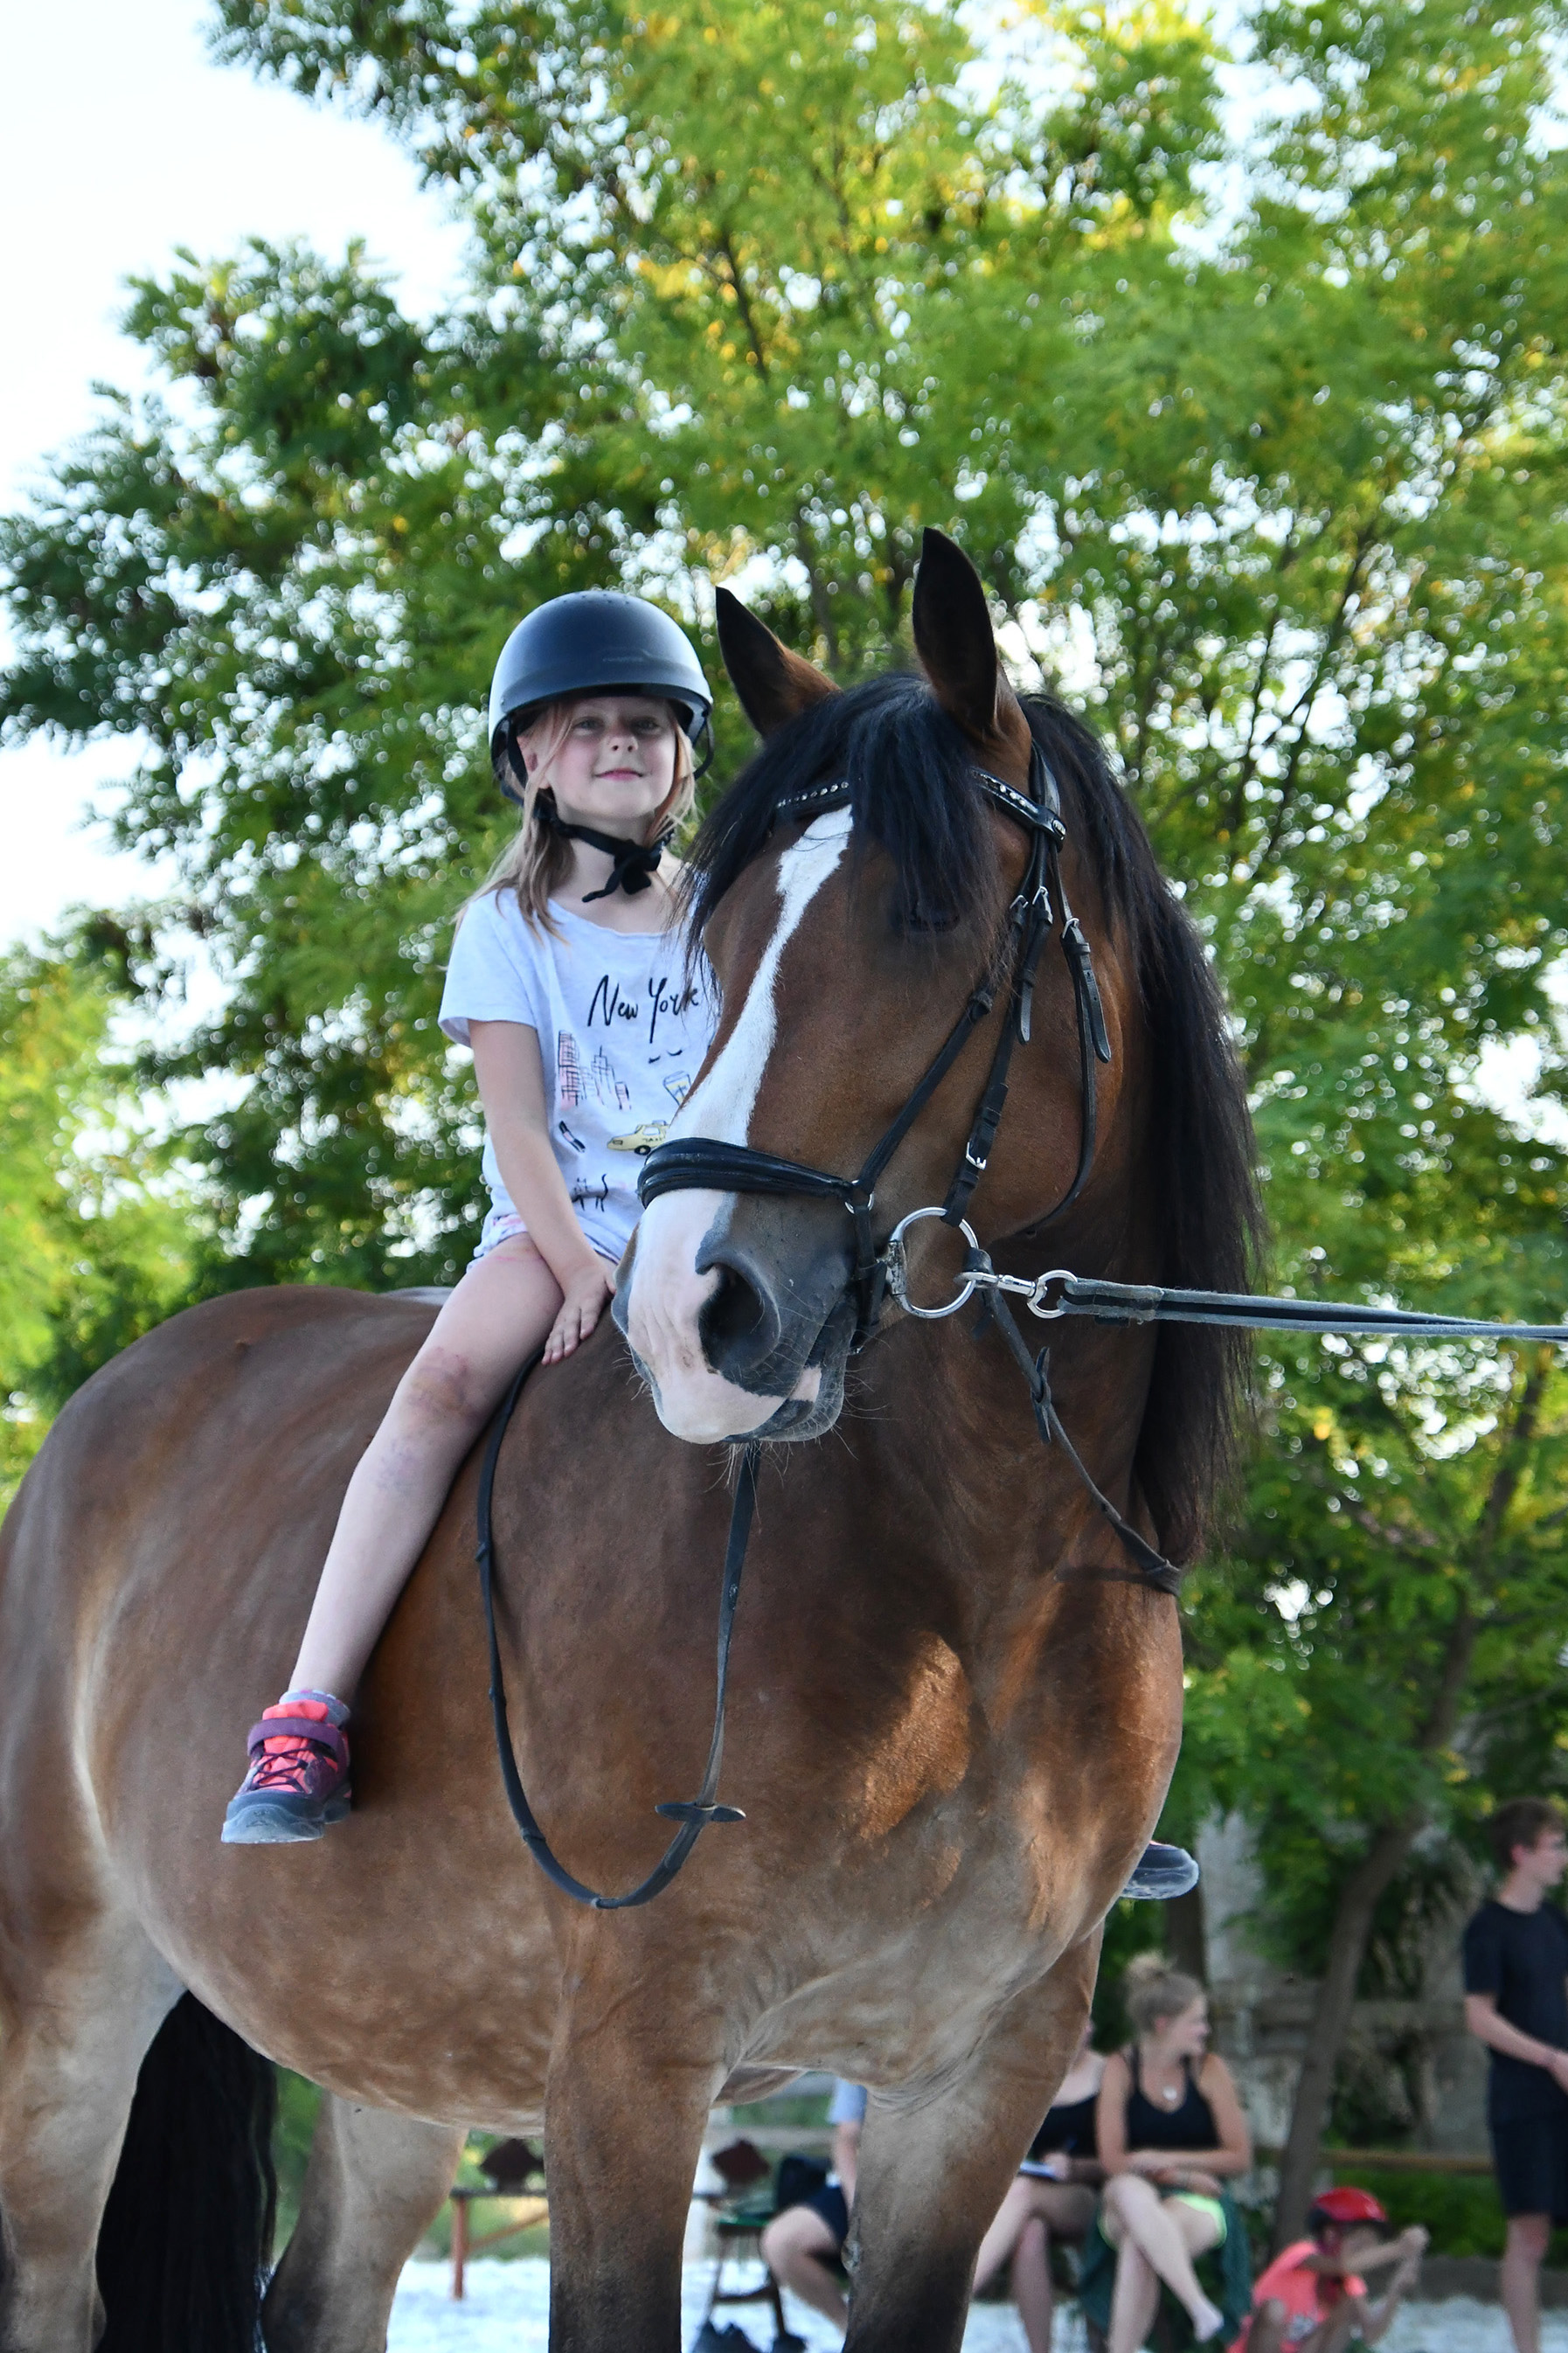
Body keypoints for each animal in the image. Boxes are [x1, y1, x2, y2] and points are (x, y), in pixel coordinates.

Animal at [0, 530, 1258, 2353]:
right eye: (719, 932)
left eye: (933, 911)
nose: (688, 1309)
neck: (976, 1593)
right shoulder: (627, 2066)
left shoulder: (977, 2082)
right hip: (67, 1998)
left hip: (393, 2035)